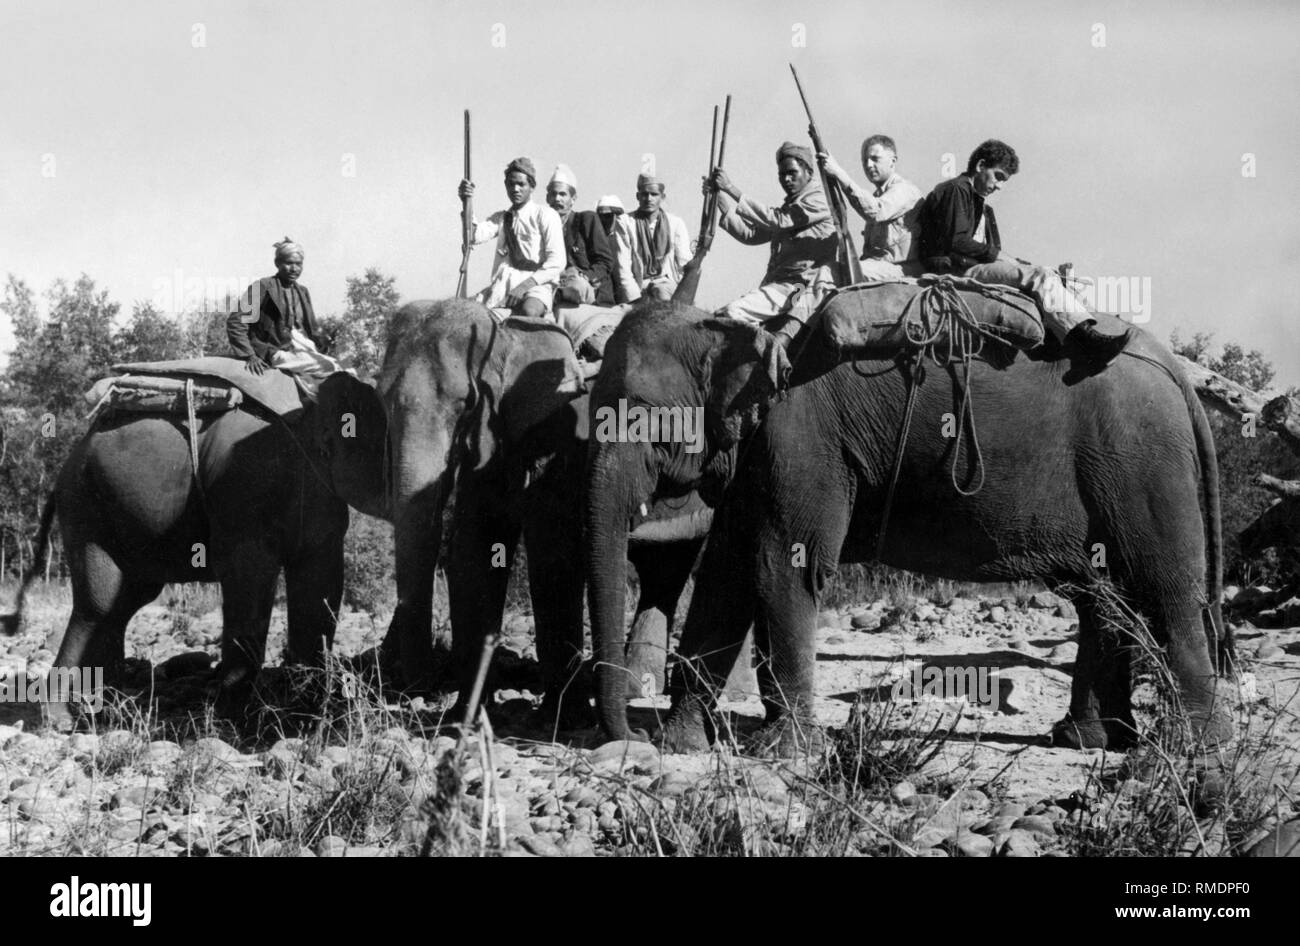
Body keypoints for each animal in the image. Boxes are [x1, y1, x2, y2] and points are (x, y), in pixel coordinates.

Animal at [1, 366, 384, 722]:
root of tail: (59, 478)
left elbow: (322, 587)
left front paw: (307, 710)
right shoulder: (244, 494)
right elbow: (247, 579)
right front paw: (233, 720)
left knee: (125, 601)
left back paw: (107, 707)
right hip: (86, 510)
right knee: (97, 604)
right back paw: (62, 718)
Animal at [379, 298, 717, 727]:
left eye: (464, 404)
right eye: (381, 398)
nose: (419, 691)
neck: (507, 332)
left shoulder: (558, 435)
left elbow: (552, 552)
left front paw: (565, 720)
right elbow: (475, 552)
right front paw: (463, 719)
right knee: (664, 568)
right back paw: (637, 688)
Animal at [585, 298, 1232, 758]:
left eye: (644, 419)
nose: (631, 739)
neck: (740, 329)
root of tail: (1176, 371)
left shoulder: (800, 440)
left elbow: (785, 568)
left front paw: (786, 754)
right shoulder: (758, 463)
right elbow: (726, 578)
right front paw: (681, 746)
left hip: (1141, 463)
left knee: (1164, 589)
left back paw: (1190, 747)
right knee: (1102, 595)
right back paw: (1092, 740)